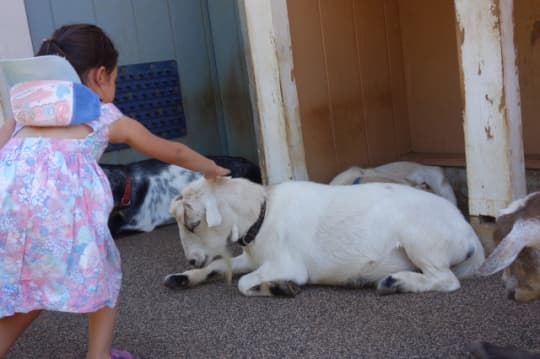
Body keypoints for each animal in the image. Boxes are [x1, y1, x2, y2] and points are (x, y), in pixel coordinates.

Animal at [162, 177, 484, 298]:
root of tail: (469, 234)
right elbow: (218, 265)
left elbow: (243, 284)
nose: (191, 259)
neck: (264, 211)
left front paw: (279, 287)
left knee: (445, 280)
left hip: (421, 241)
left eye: (193, 223)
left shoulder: (286, 264)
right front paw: (182, 278)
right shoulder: (253, 259)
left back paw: (396, 282)